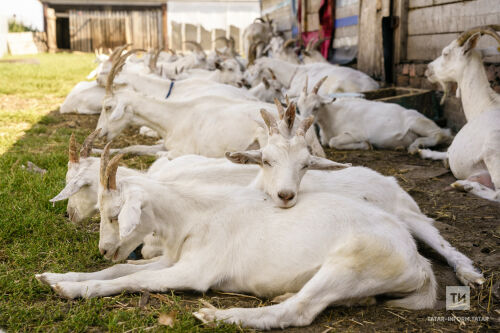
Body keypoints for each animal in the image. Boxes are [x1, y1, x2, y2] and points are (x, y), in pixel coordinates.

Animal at [298, 76, 456, 152]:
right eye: (299, 107)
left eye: (316, 107)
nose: (302, 127)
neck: (332, 117)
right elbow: (328, 142)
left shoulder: (355, 134)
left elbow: (333, 142)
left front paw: (366, 145)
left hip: (418, 123)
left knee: (441, 135)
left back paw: (414, 147)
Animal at [422, 24, 500, 201]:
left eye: (445, 53)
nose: (428, 69)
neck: (485, 105)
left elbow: (447, 153)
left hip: (493, 149)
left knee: (497, 194)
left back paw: (465, 185)